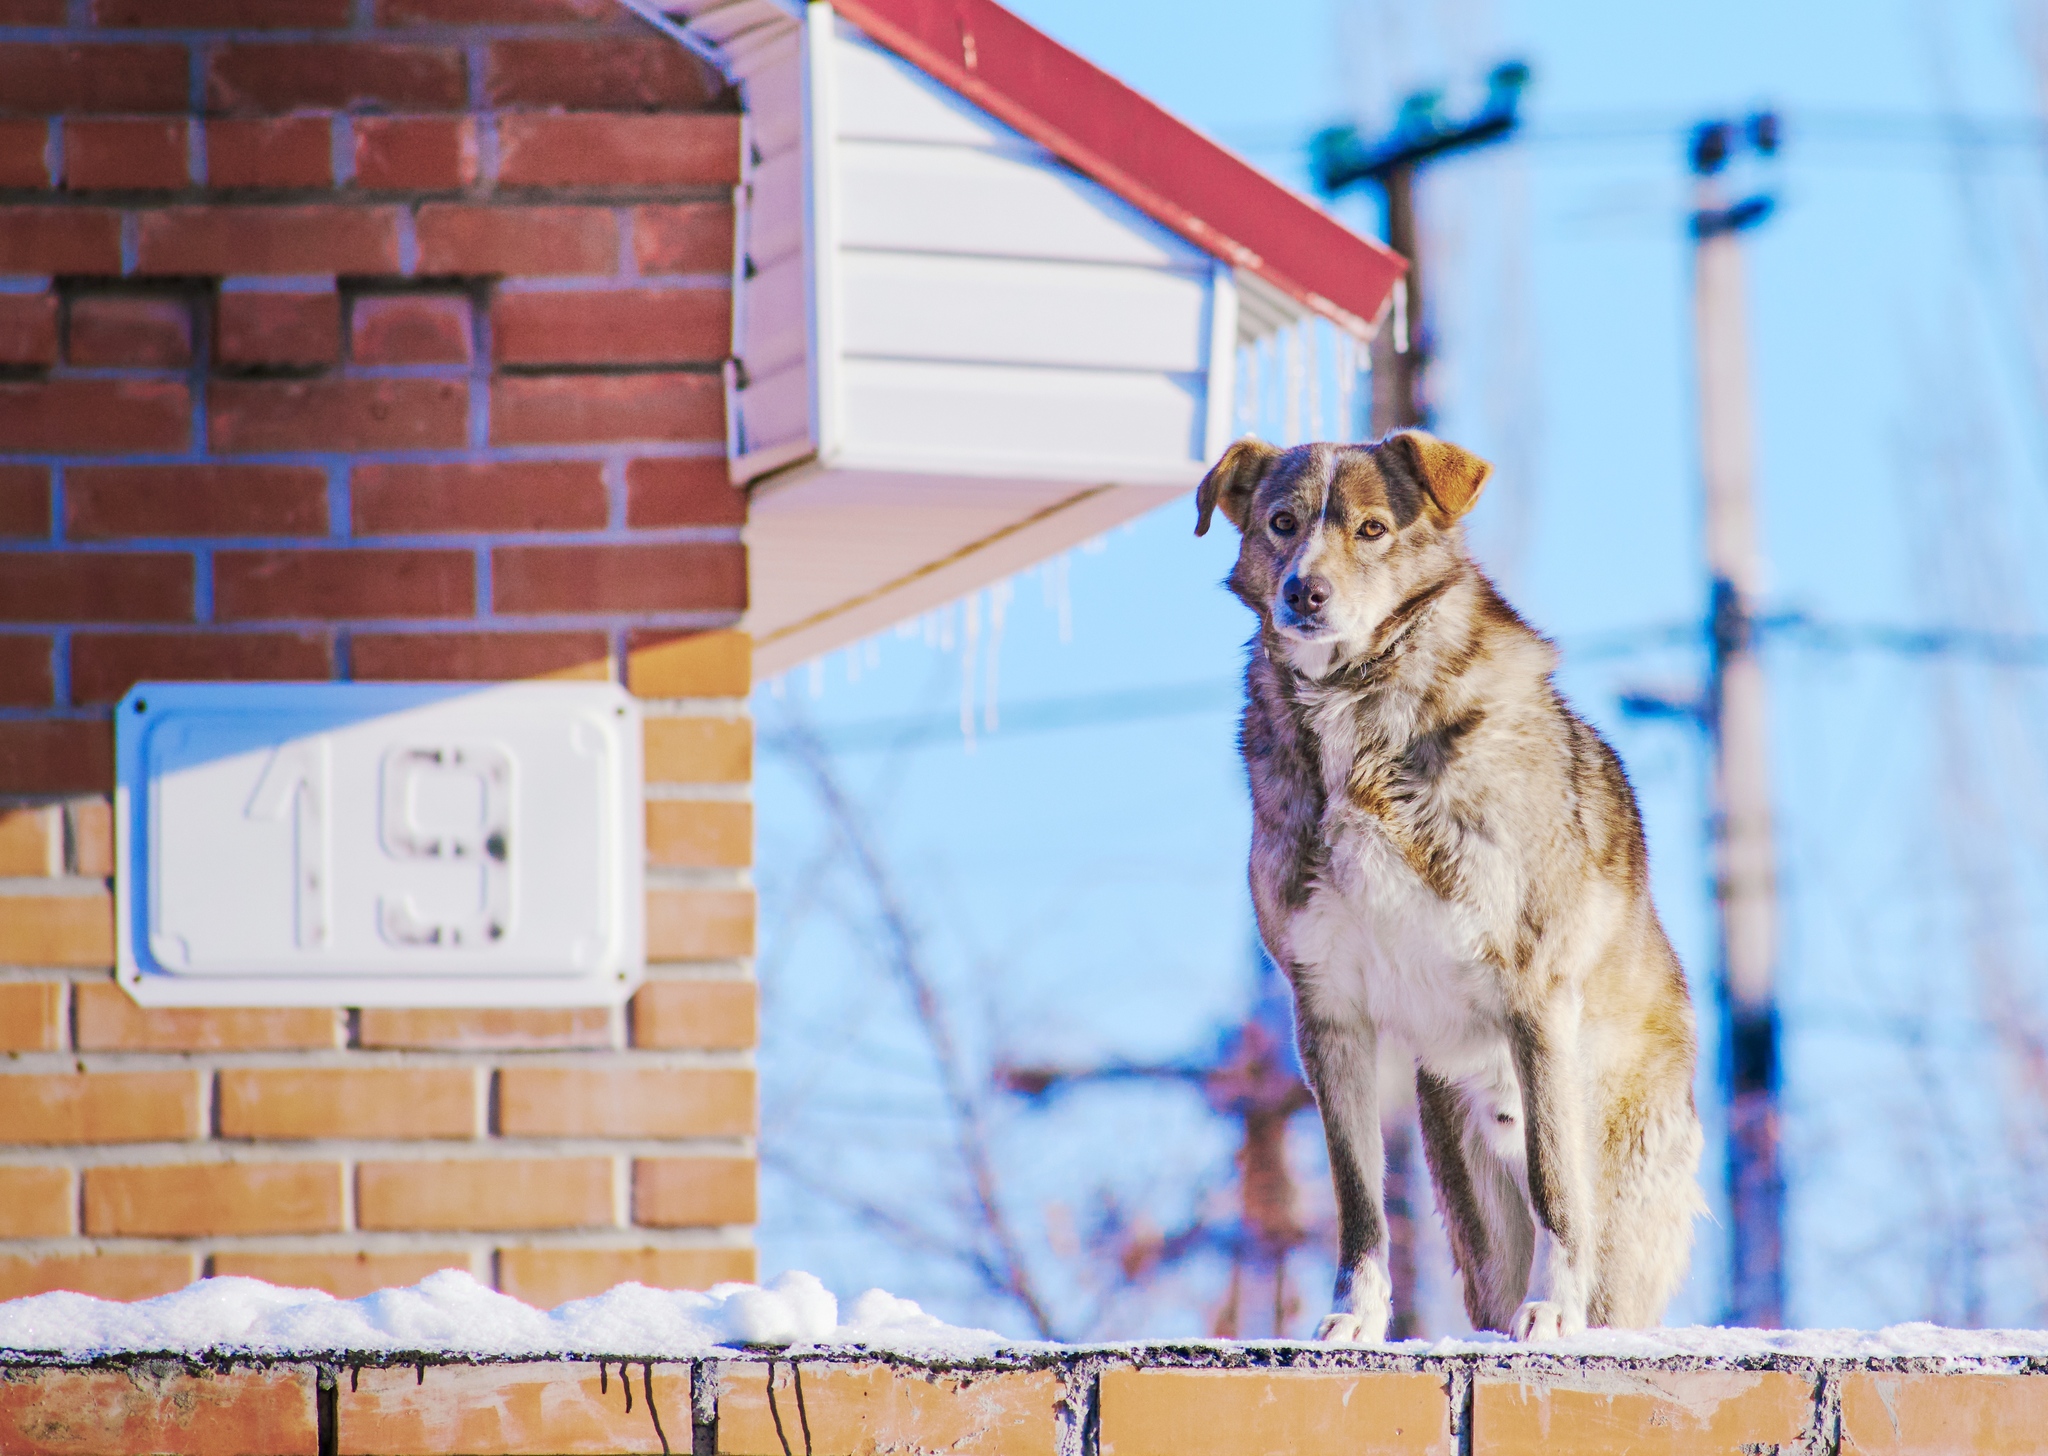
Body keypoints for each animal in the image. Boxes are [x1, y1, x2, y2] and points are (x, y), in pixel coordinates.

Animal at [1196, 430, 1703, 1343]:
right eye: (1282, 522)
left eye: (1371, 528)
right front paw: (1354, 1319)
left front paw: (1553, 1310)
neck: (1359, 715)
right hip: (1473, 1211)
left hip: (1623, 1203)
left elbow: (1555, 1185)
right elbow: (1358, 1199)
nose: (1304, 593)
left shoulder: (1534, 989)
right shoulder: (1329, 1010)